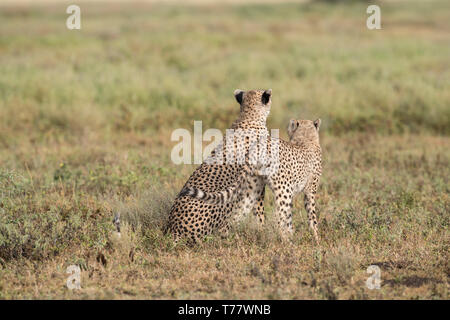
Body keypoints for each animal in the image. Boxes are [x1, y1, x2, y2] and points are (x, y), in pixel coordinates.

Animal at [181, 119, 322, 241]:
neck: (306, 139)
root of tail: (260, 145)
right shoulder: (309, 191)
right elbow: (311, 216)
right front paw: (316, 238)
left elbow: (290, 218)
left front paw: (295, 234)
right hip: (283, 190)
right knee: (278, 218)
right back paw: (285, 241)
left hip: (253, 187)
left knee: (237, 213)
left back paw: (227, 239)